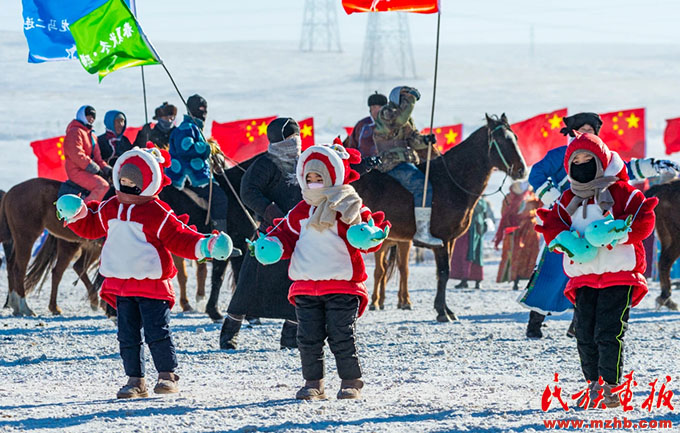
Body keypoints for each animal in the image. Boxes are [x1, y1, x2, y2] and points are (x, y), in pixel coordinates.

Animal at [354, 115, 528, 320]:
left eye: (515, 137)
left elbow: (443, 273)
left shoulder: (450, 240)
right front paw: (442, 312)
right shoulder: (442, 239)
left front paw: (446, 310)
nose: (521, 170)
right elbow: (444, 272)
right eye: (501, 140)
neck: (452, 181)